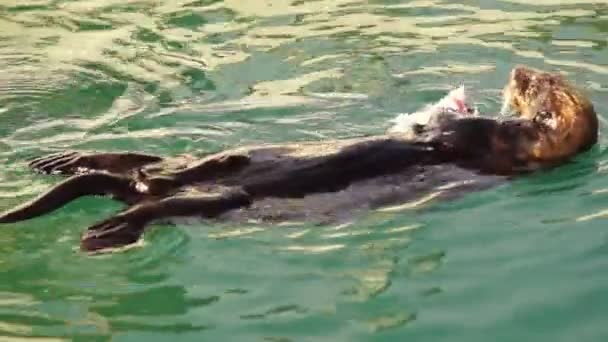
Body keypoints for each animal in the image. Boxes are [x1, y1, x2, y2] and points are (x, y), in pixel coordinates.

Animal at [0, 66, 600, 251]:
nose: (518, 71)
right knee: (130, 162)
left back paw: (104, 230)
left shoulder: (478, 141)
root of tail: (152, 184)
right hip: (189, 165)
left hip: (219, 197)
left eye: (539, 85)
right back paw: (64, 161)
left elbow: (443, 131)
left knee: (151, 200)